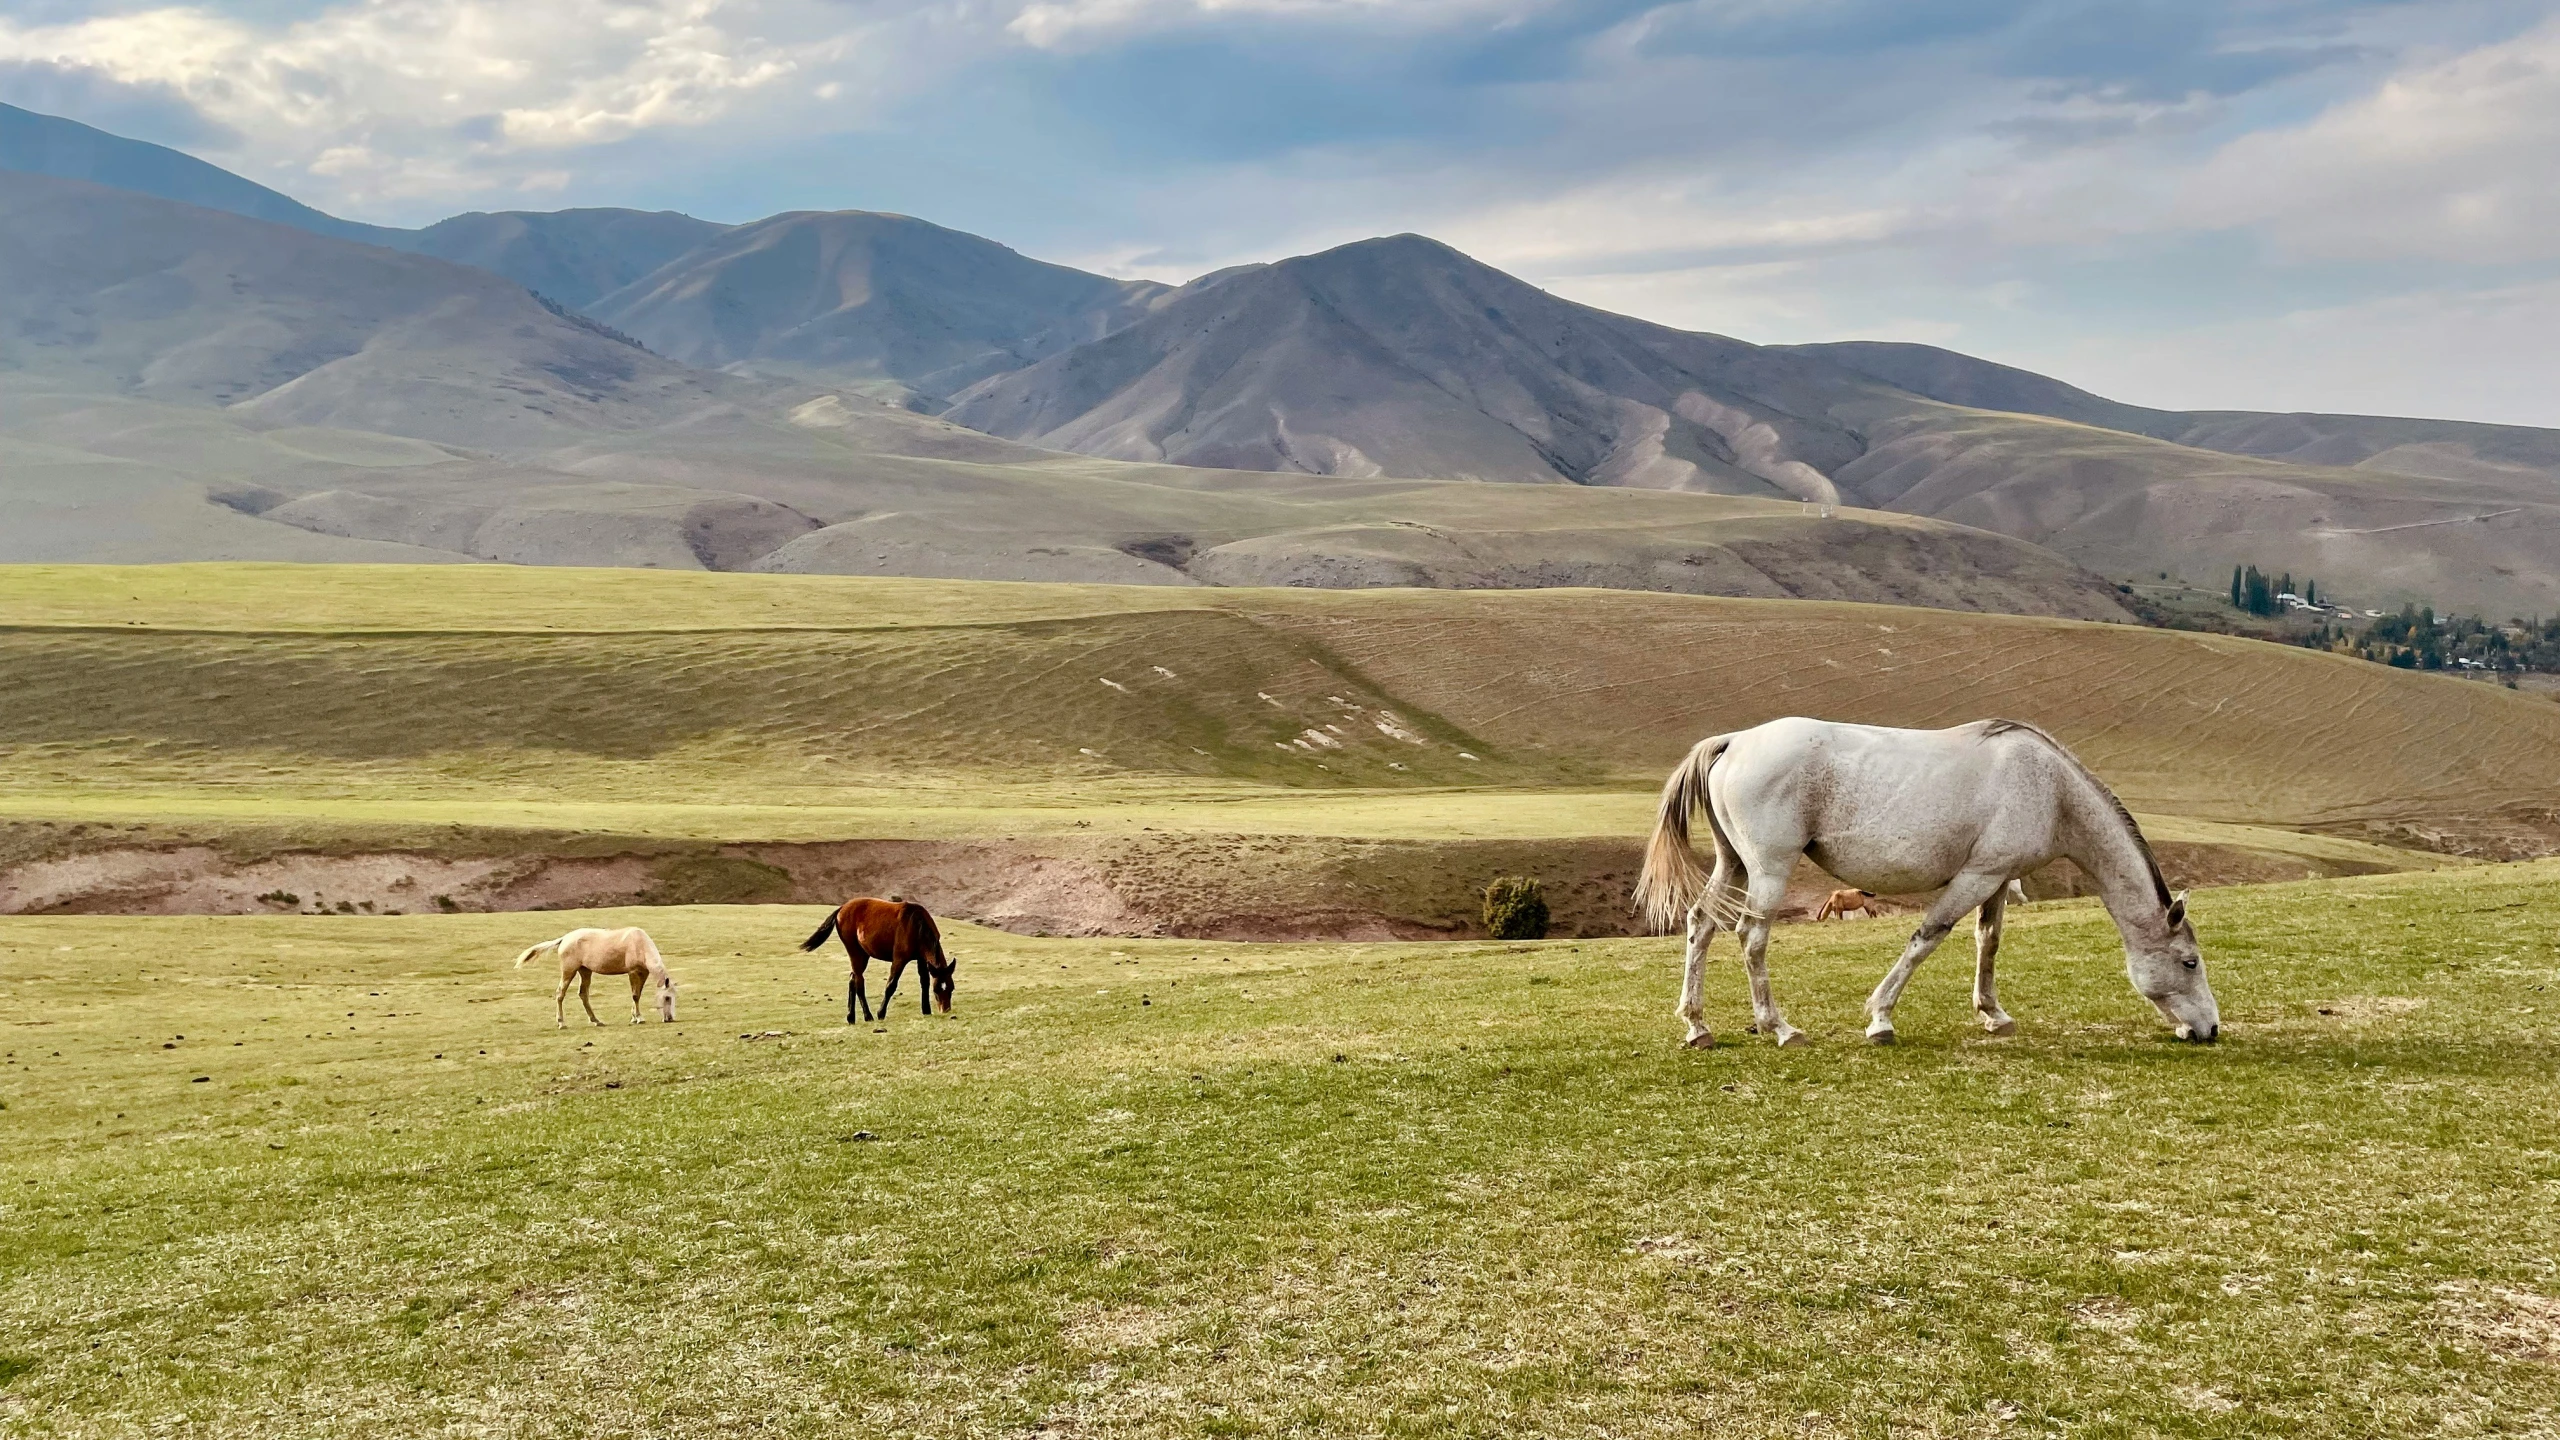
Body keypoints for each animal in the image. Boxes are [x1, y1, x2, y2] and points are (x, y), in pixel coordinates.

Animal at [512, 922, 680, 1024]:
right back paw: (561, 1022)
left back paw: (595, 1020)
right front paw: (638, 1018)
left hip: (585, 971)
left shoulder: (643, 973)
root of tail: (565, 938)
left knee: (583, 994)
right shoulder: (633, 972)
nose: (669, 1018)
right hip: (569, 971)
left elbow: (638, 994)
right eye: (667, 998)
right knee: (560, 993)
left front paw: (634, 1017)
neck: (639, 944)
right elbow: (635, 995)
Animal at [793, 896, 957, 1019]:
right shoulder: (899, 959)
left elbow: (924, 981)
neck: (916, 924)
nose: (945, 1010)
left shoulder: (921, 959)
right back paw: (868, 1016)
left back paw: (851, 1017)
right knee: (859, 982)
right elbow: (891, 985)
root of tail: (842, 908)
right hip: (855, 953)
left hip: (862, 955)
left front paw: (926, 1010)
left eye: (951, 987)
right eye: (937, 990)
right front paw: (881, 1013)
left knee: (852, 979)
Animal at [1638, 712, 2222, 1040]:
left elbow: (1989, 941)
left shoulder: (1996, 879)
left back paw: (1697, 1025)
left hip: (1733, 864)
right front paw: (1880, 1018)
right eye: (2189, 962)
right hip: (1768, 870)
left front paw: (1993, 1014)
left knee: (1701, 924)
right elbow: (1927, 937)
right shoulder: (1974, 877)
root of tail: (1735, 741)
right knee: (1751, 937)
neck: (2051, 789)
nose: (2210, 1029)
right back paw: (1777, 1027)